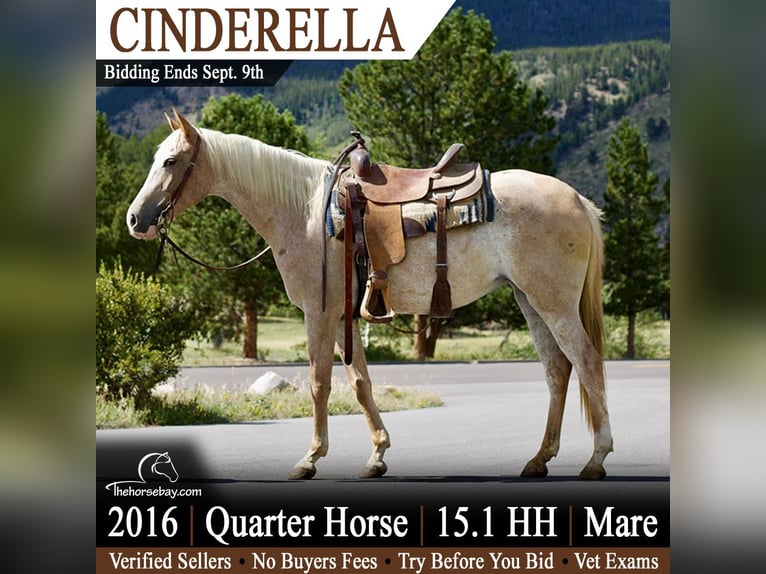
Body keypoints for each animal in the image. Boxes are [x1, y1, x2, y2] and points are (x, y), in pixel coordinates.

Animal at [126, 109, 613, 480]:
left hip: (553, 302)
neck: (306, 213)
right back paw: (539, 458)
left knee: (587, 362)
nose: (135, 219)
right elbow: (360, 383)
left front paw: (309, 459)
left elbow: (320, 383)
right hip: (530, 301)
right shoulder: (345, 315)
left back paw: (596, 459)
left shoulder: (320, 313)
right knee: (557, 371)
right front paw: (378, 454)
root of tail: (576, 199)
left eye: (171, 161)